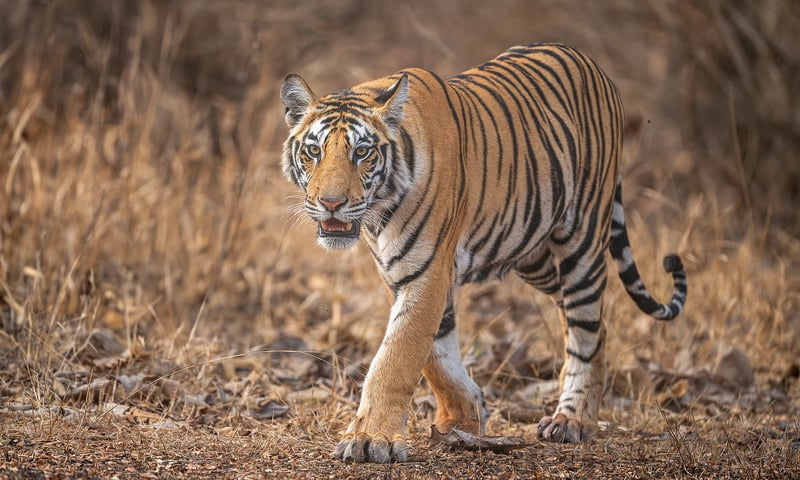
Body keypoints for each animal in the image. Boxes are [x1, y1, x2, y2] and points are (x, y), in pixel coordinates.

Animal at [279, 43, 687, 463]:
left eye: (362, 152)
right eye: (313, 151)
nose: (331, 204)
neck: (379, 212)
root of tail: (592, 64)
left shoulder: (427, 273)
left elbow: (396, 358)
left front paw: (370, 439)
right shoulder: (408, 275)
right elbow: (437, 356)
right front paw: (463, 420)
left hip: (583, 241)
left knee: (586, 328)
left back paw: (572, 419)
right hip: (534, 254)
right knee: (589, 323)